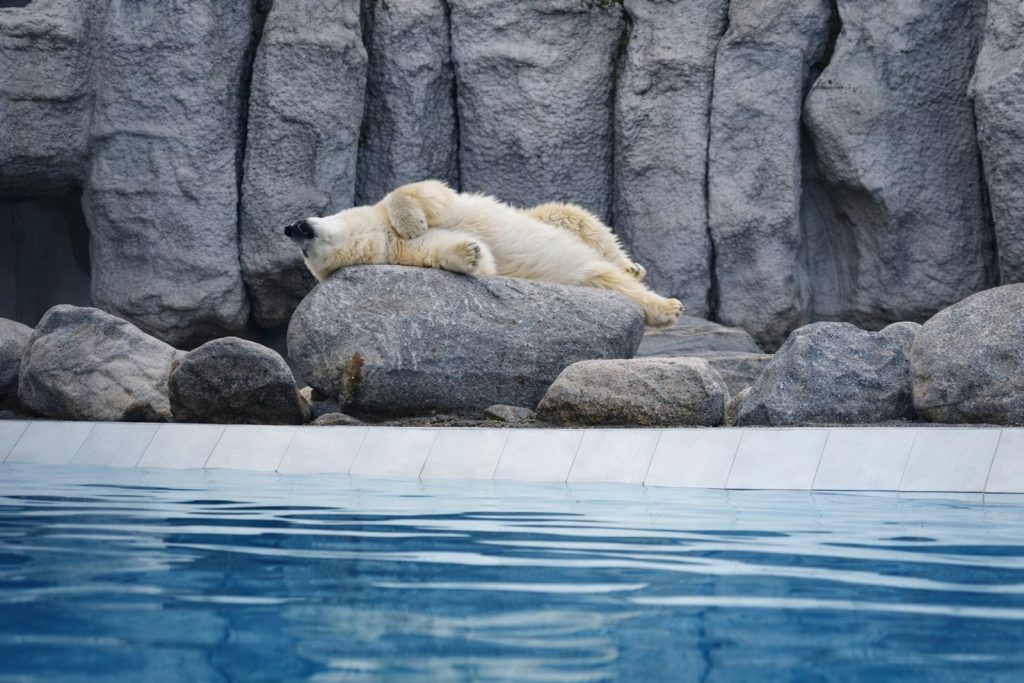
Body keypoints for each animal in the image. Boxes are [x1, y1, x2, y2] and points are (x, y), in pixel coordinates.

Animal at [284, 180, 682, 328]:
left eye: (301, 231)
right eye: (307, 256)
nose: (288, 227)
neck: (381, 235)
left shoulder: (409, 209)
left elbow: (420, 192)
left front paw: (412, 221)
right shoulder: (406, 253)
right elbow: (462, 255)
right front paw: (470, 252)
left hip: (548, 218)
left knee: (574, 216)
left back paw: (635, 270)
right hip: (581, 277)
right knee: (605, 280)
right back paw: (663, 307)